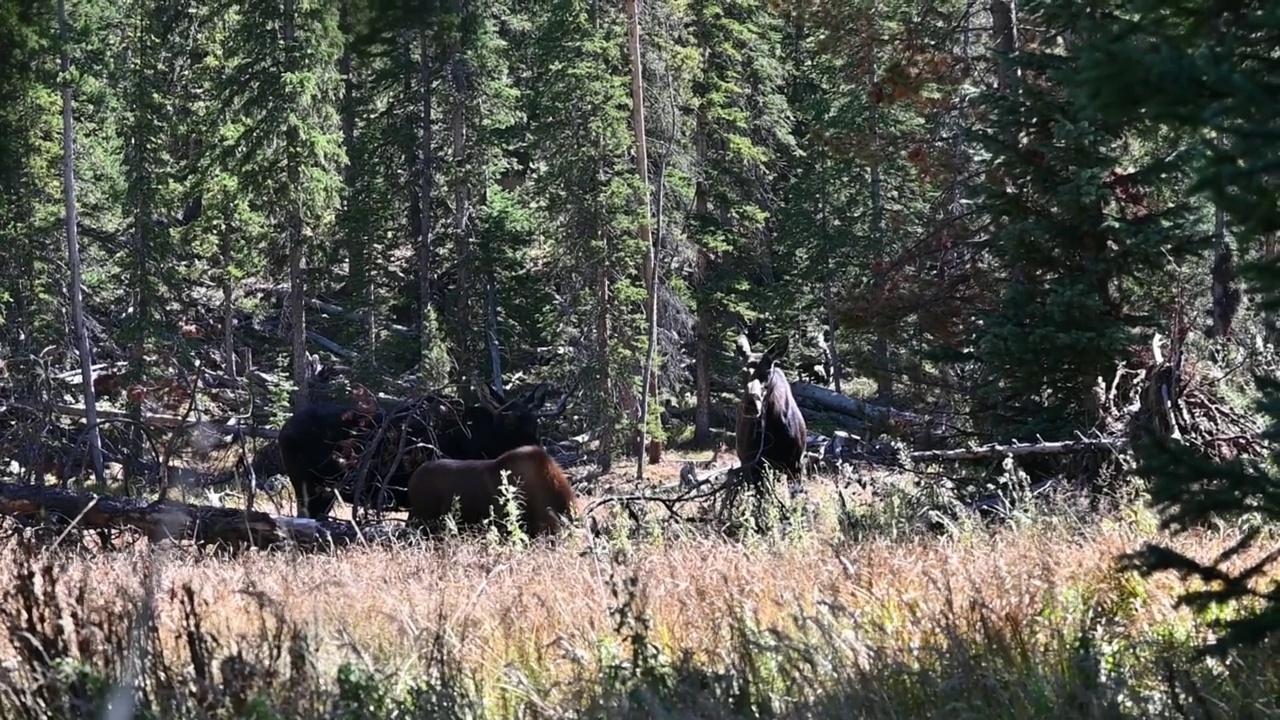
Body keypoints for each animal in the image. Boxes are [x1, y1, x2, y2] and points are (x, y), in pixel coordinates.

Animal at [280, 379, 570, 517]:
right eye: (508, 421)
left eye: (535, 421)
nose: (537, 450)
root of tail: (283, 431)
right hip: (307, 486)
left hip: (325, 493)